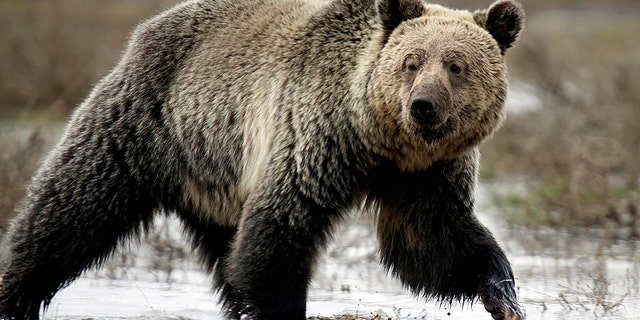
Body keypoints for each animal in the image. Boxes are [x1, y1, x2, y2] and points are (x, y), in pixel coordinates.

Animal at [0, 0, 520, 318]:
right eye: (411, 62)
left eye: (456, 65)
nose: (423, 105)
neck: (380, 140)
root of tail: (148, 28)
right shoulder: (314, 137)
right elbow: (279, 234)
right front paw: (284, 309)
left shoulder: (426, 175)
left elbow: (435, 242)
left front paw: (503, 292)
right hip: (146, 124)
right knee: (69, 211)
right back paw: (15, 292)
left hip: (217, 176)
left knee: (227, 253)